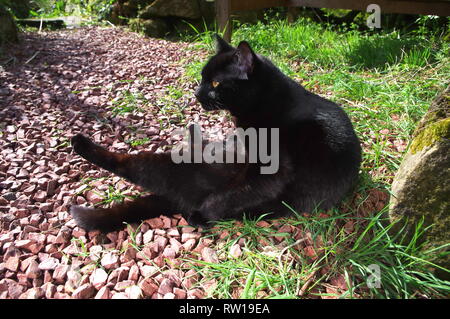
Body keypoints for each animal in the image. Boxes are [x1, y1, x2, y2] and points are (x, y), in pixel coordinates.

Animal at [69, 35, 362, 232]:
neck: (268, 104)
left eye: (215, 83)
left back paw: (79, 142)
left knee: (137, 166)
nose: (196, 92)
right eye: (201, 78)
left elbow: (235, 193)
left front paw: (204, 214)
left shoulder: (271, 171)